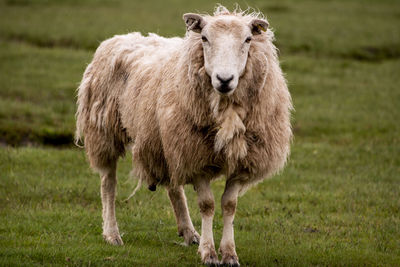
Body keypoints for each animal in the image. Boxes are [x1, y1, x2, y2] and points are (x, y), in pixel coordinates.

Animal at [75, 5, 292, 266]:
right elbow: (207, 204)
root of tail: (120, 37)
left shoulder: (241, 162)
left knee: (173, 186)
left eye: (248, 39)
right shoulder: (195, 157)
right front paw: (209, 253)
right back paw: (112, 233)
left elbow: (229, 205)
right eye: (204, 38)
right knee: (108, 183)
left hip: (167, 141)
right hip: (105, 130)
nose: (224, 79)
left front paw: (229, 253)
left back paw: (188, 231)